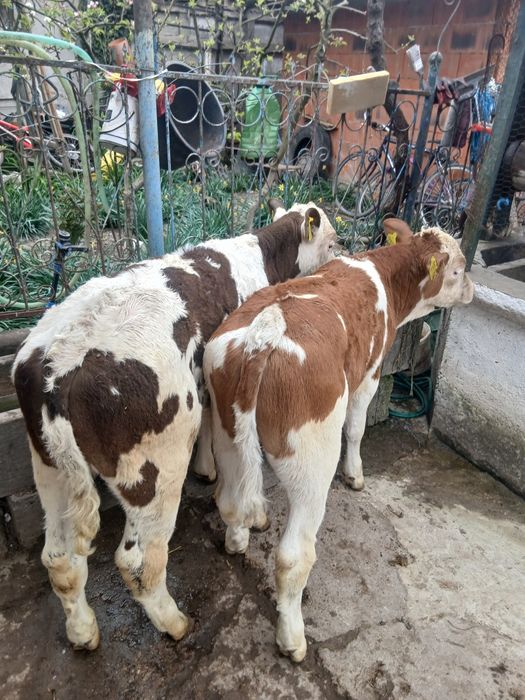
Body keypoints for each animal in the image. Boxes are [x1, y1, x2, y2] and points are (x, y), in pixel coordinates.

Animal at [12, 201, 337, 650]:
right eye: (333, 241)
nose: (341, 256)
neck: (262, 257)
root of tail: (61, 360)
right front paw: (235, 499)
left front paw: (207, 470)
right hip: (156, 464)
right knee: (138, 560)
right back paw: (175, 623)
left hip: (48, 466)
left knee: (59, 559)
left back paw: (83, 632)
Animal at [203, 218, 474, 663]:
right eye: (457, 270)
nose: (471, 289)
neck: (381, 275)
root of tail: (266, 332)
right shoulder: (371, 373)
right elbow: (357, 427)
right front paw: (355, 474)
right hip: (311, 462)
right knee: (293, 555)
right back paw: (292, 638)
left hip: (226, 434)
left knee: (229, 499)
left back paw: (238, 539)